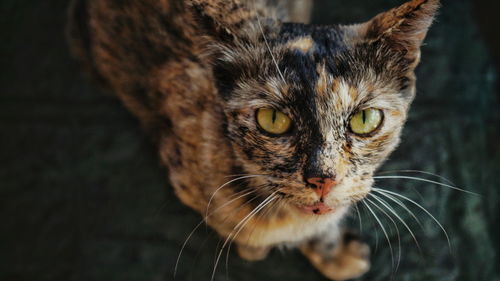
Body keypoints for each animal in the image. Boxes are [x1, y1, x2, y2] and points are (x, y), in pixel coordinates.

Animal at [66, 0, 438, 278]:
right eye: (272, 120)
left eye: (364, 119)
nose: (324, 179)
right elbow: (237, 229)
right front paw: (254, 247)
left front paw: (333, 253)